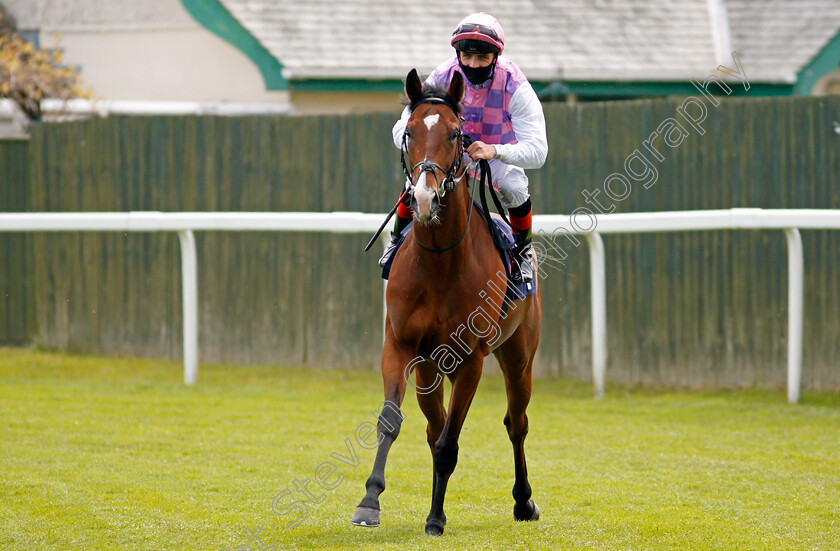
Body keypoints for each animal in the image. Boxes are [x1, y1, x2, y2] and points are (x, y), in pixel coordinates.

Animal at [352, 68, 540, 536]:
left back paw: (523, 501)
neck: (439, 261)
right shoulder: (399, 345)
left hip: (519, 356)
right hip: (430, 367)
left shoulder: (471, 359)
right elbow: (391, 421)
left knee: (517, 423)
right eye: (410, 132)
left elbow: (449, 443)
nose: (423, 196)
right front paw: (369, 502)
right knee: (432, 424)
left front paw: (435, 518)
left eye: (457, 133)